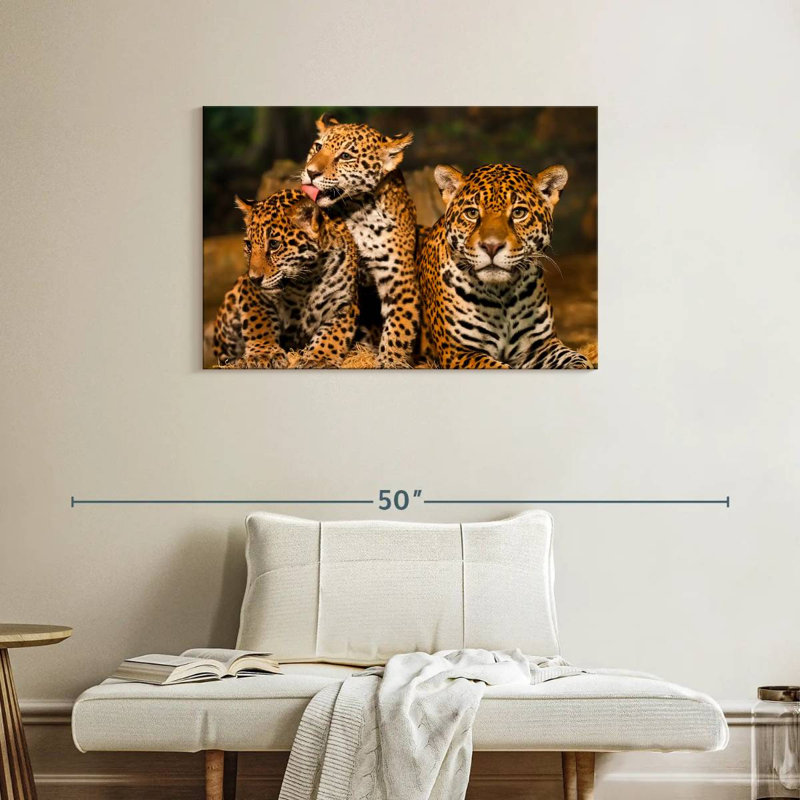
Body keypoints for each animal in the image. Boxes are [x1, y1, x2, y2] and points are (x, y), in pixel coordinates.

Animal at [212, 189, 359, 369]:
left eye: (274, 245)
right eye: (249, 245)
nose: (254, 278)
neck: (307, 280)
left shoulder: (345, 303)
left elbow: (333, 334)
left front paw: (319, 358)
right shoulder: (251, 292)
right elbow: (259, 322)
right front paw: (263, 354)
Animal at [300, 114, 420, 368]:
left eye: (346, 156)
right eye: (318, 147)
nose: (311, 172)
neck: (358, 211)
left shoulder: (400, 280)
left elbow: (399, 327)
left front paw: (390, 361)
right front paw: (318, 357)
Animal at [418, 163, 593, 369]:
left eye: (518, 213)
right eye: (472, 213)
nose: (491, 246)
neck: (502, 294)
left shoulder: (540, 345)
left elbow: (577, 359)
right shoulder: (458, 352)